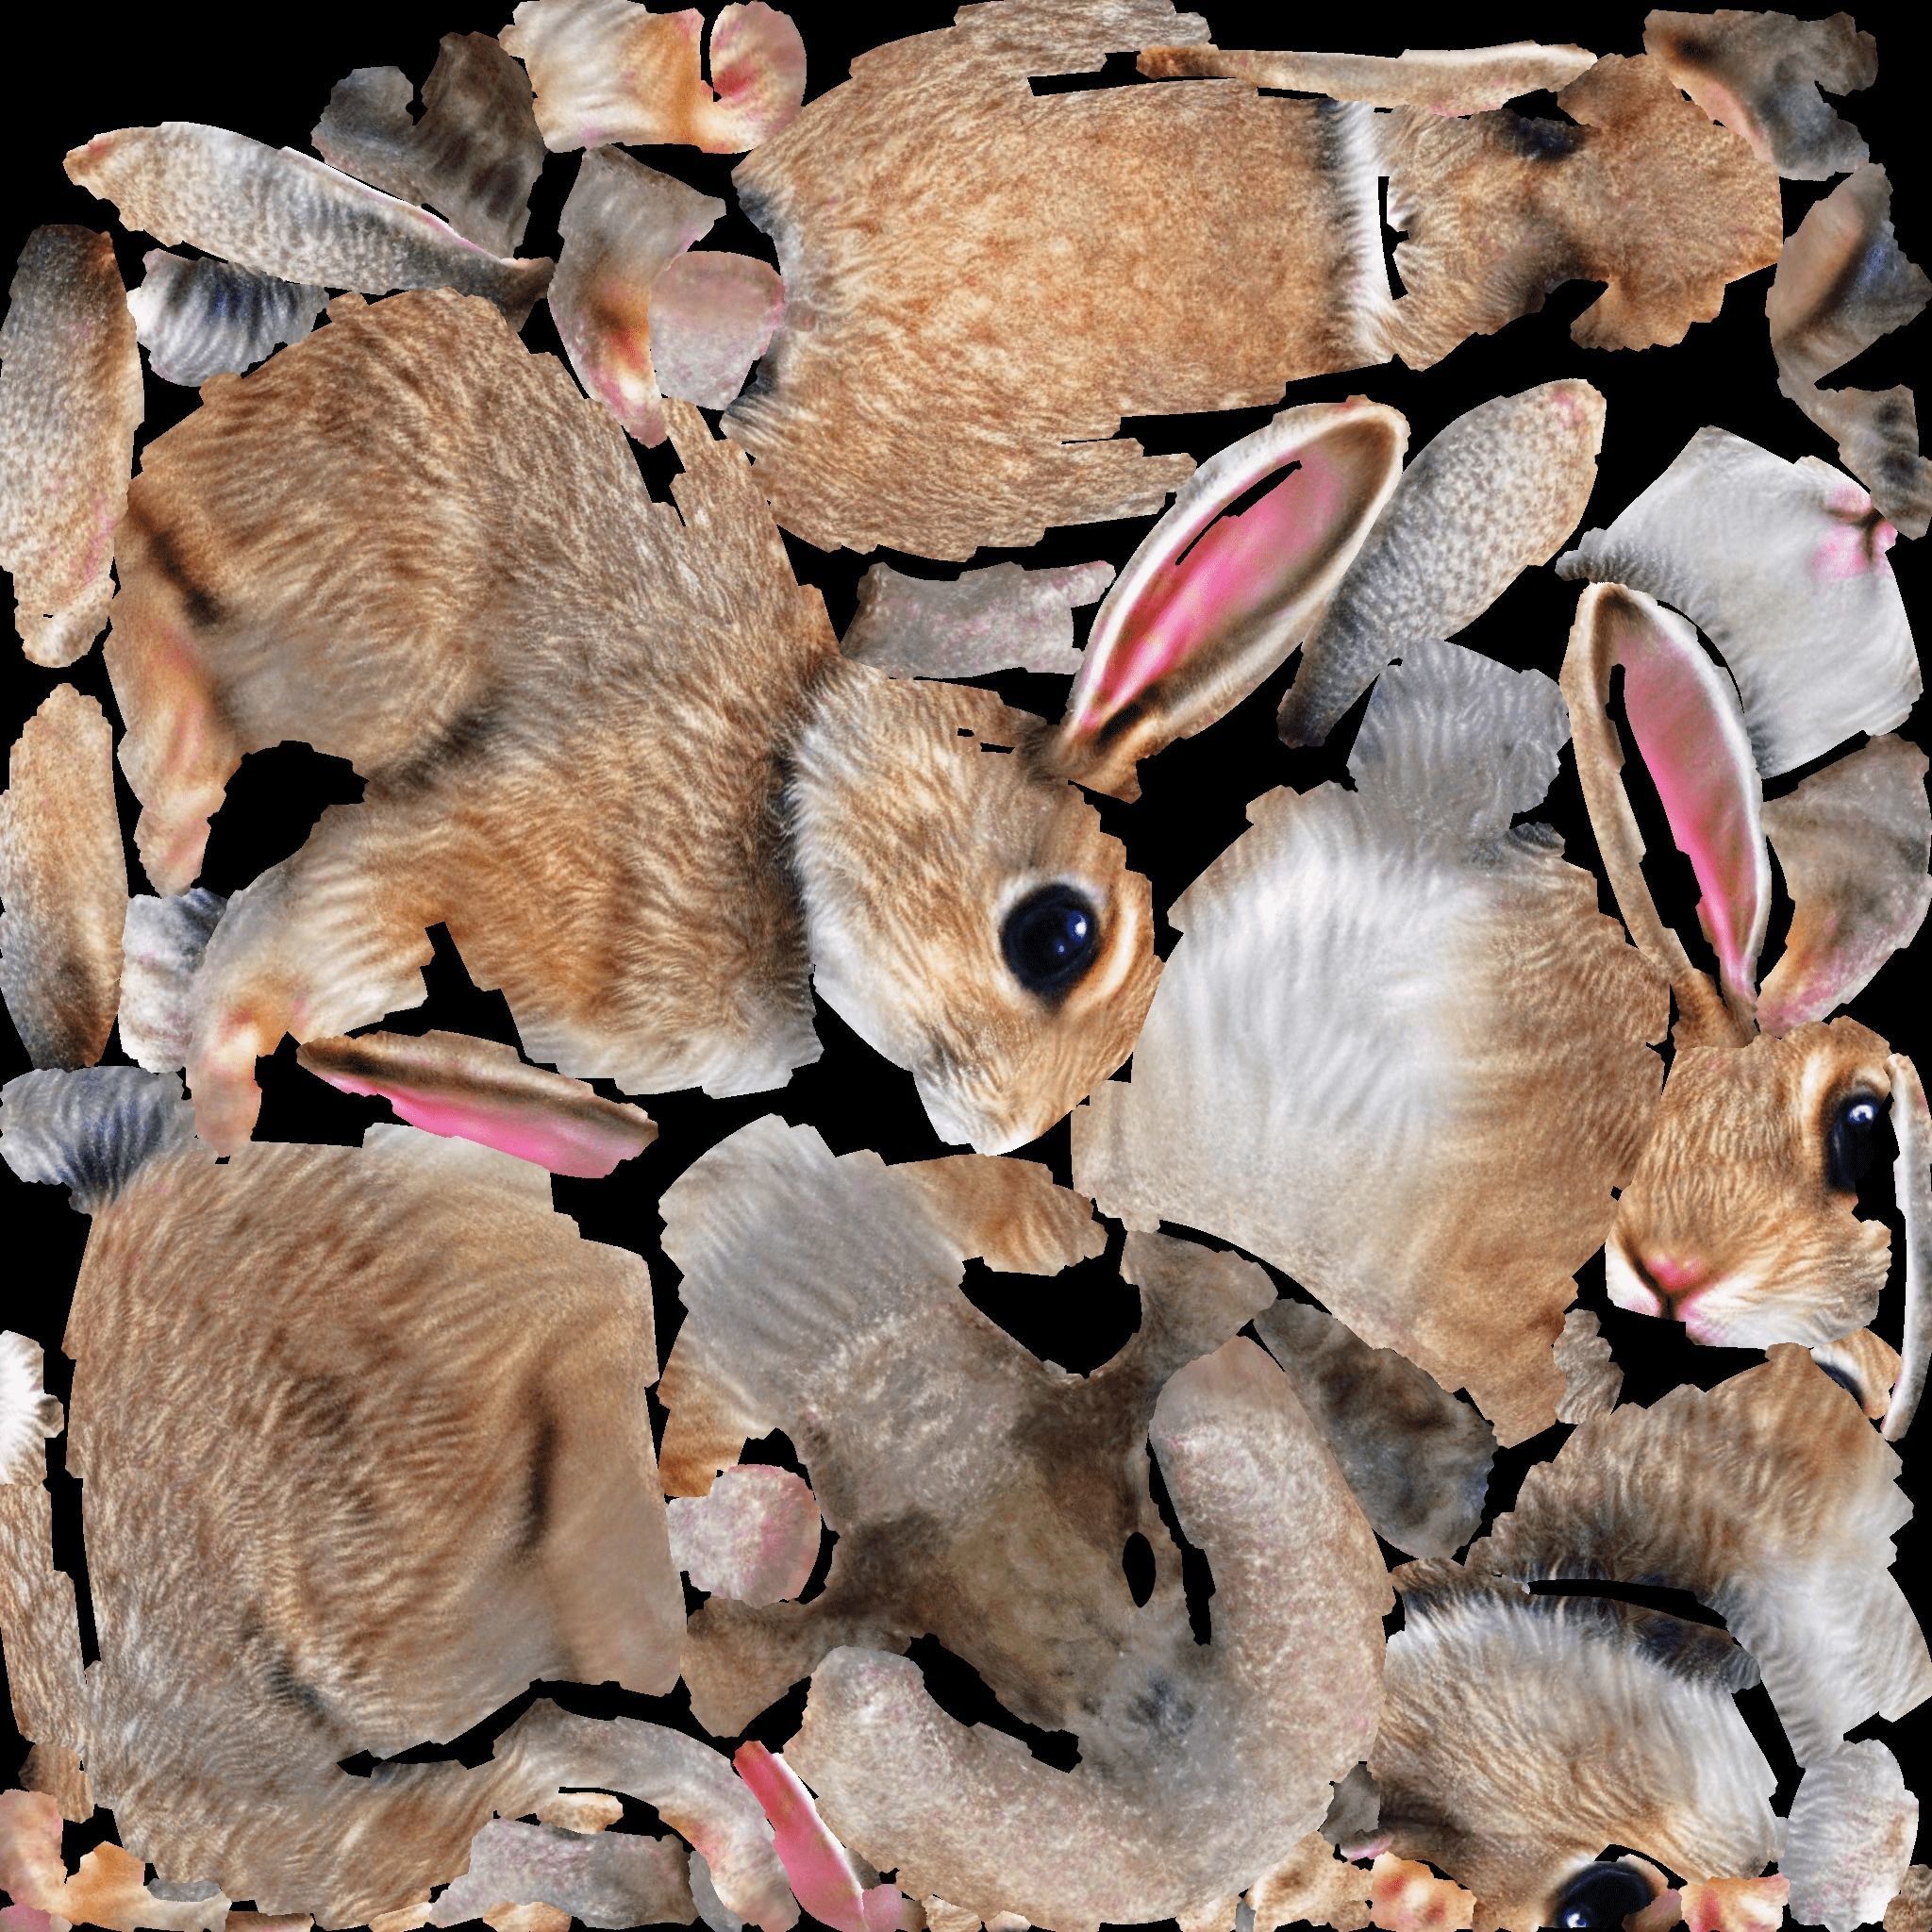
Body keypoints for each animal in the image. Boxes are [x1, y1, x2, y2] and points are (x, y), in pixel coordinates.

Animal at [101, 283, 1407, 1156]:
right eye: (1055, 937)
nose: (998, 1132)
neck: (791, 787)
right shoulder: (458, 843)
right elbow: (310, 927)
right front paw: (223, 1105)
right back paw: (173, 821)